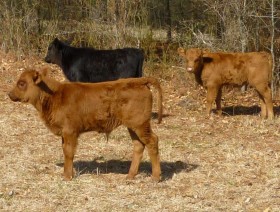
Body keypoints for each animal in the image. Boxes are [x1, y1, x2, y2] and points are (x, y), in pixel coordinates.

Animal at [8, 68, 163, 181]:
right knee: (138, 145)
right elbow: (65, 151)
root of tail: (139, 81)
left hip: (140, 124)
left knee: (152, 141)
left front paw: (67, 177)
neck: (55, 95)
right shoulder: (65, 133)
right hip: (132, 126)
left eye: (22, 83)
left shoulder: (70, 131)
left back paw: (155, 177)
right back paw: (130, 176)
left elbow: (68, 152)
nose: (10, 94)